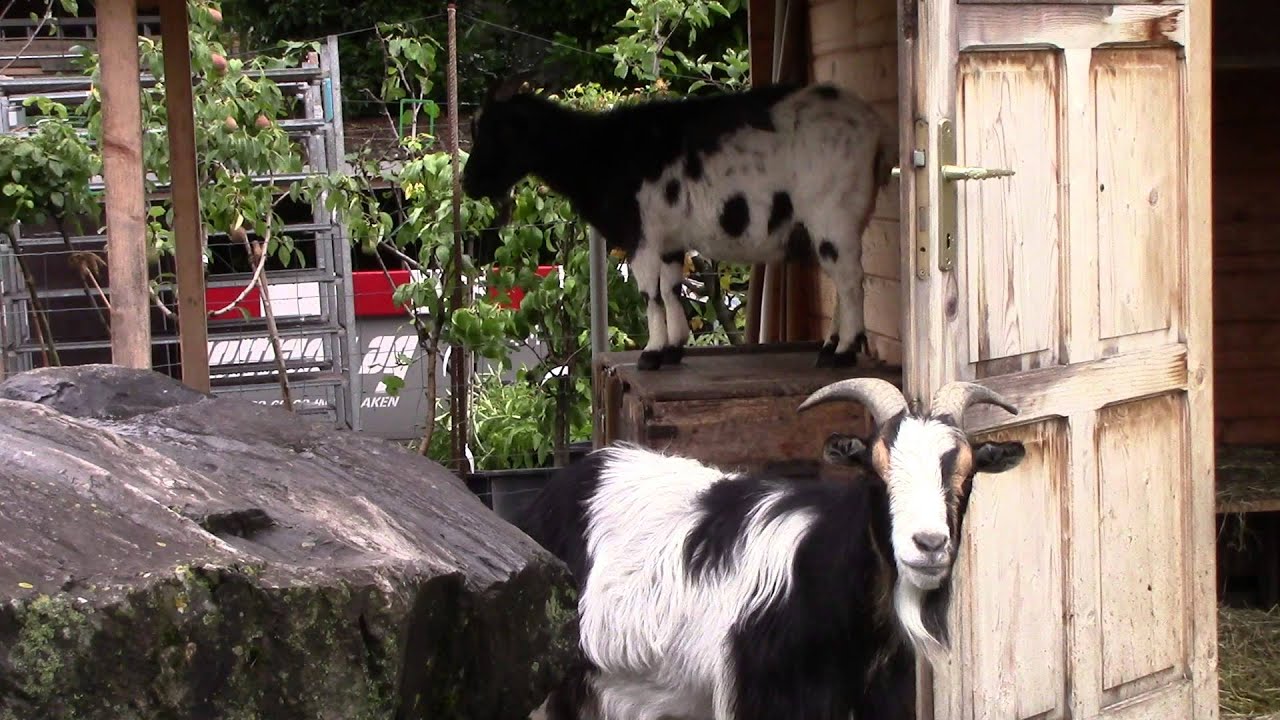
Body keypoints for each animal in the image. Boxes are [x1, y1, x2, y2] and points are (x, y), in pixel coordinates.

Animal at [461, 81, 897, 371]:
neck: (599, 153)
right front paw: (673, 349)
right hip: (844, 218)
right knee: (842, 280)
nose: (468, 184)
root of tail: (876, 129)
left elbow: (649, 294)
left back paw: (842, 354)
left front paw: (651, 354)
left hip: (832, 211)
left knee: (851, 280)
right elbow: (670, 289)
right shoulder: (669, 240)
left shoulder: (640, 235)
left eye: (500, 133)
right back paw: (831, 346)